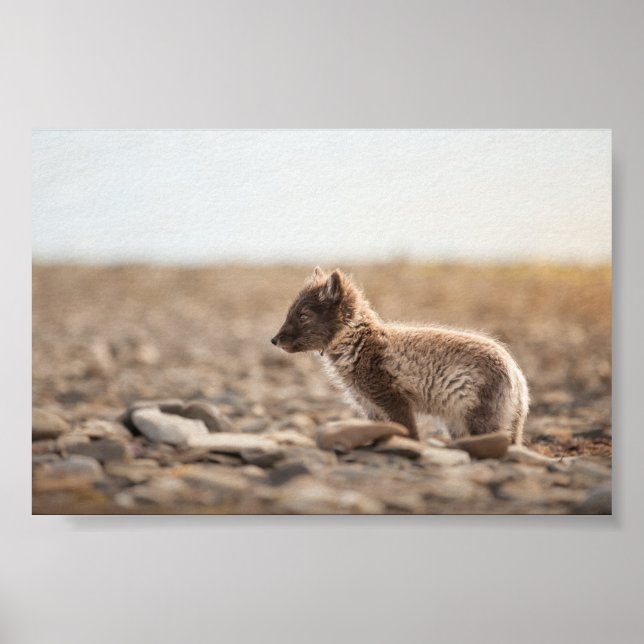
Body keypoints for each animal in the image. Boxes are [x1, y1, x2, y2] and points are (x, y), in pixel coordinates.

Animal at [271, 267, 529, 444]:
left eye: (303, 315)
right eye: (289, 312)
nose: (274, 340)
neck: (358, 343)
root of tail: (517, 375)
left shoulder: (394, 401)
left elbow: (410, 434)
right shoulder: (371, 407)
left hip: (481, 422)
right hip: (460, 425)